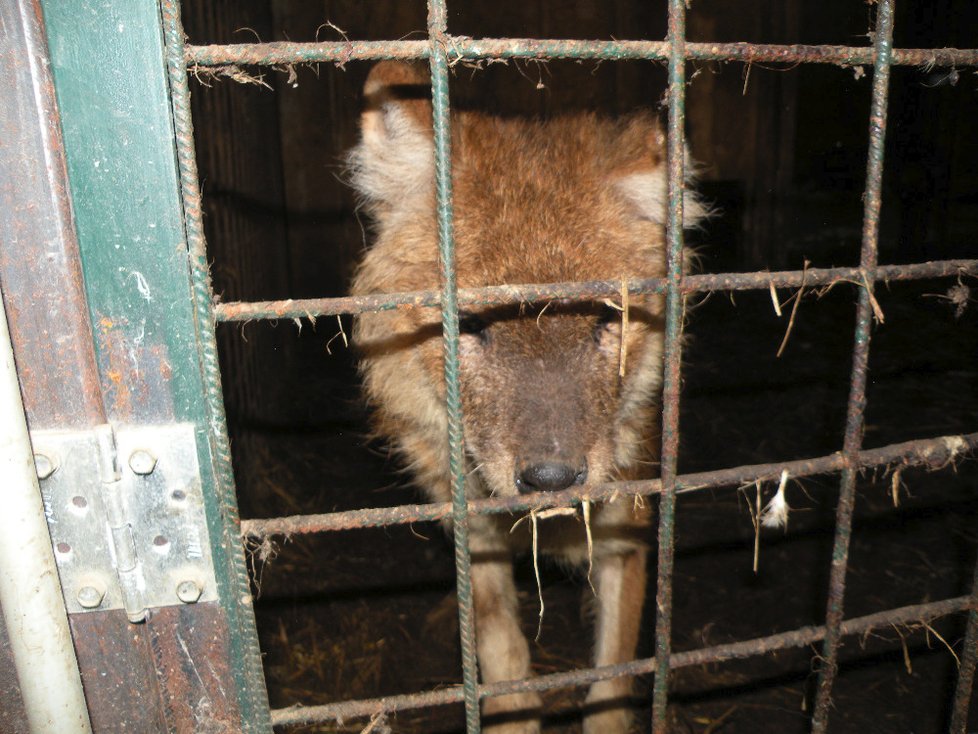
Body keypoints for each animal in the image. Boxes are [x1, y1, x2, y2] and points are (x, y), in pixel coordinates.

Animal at [346, 61, 704, 734]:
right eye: (470, 325)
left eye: (606, 317)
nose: (552, 479)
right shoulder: (473, 534)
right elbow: (505, 660)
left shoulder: (627, 526)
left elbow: (612, 679)